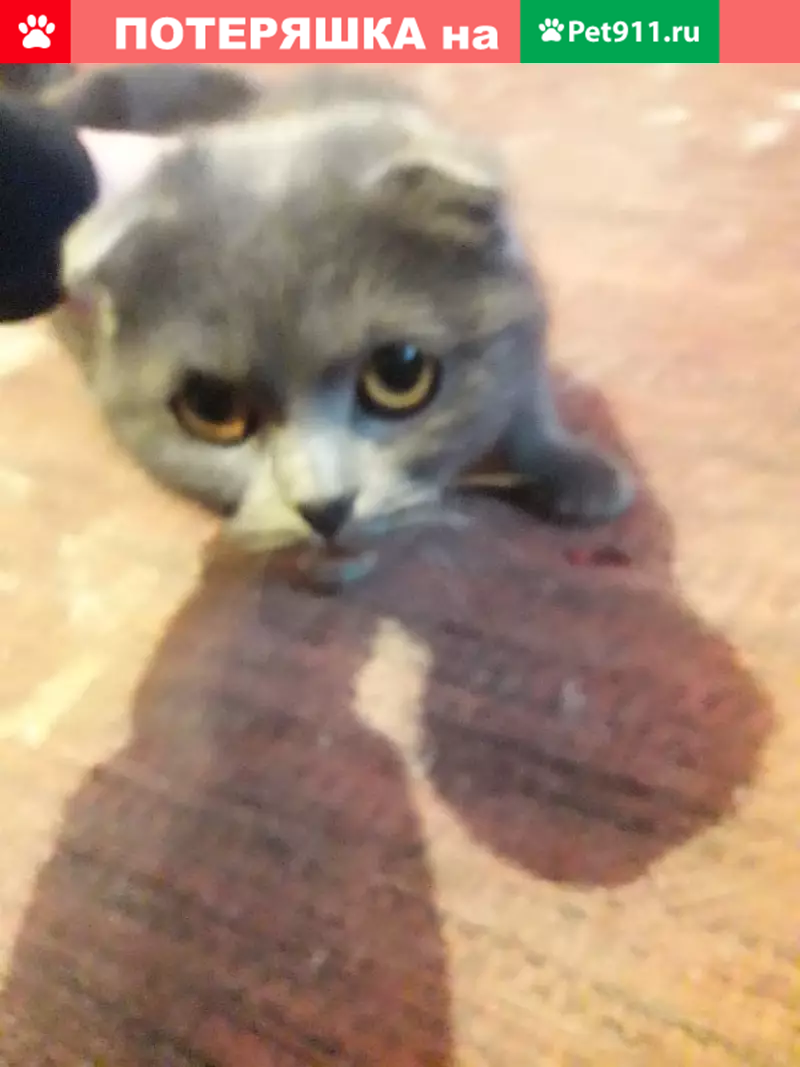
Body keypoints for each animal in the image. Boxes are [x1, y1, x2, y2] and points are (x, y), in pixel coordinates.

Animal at [22, 65, 636, 587]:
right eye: (214, 409)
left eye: (400, 375)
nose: (324, 509)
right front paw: (320, 561)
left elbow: (528, 403)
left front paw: (574, 470)